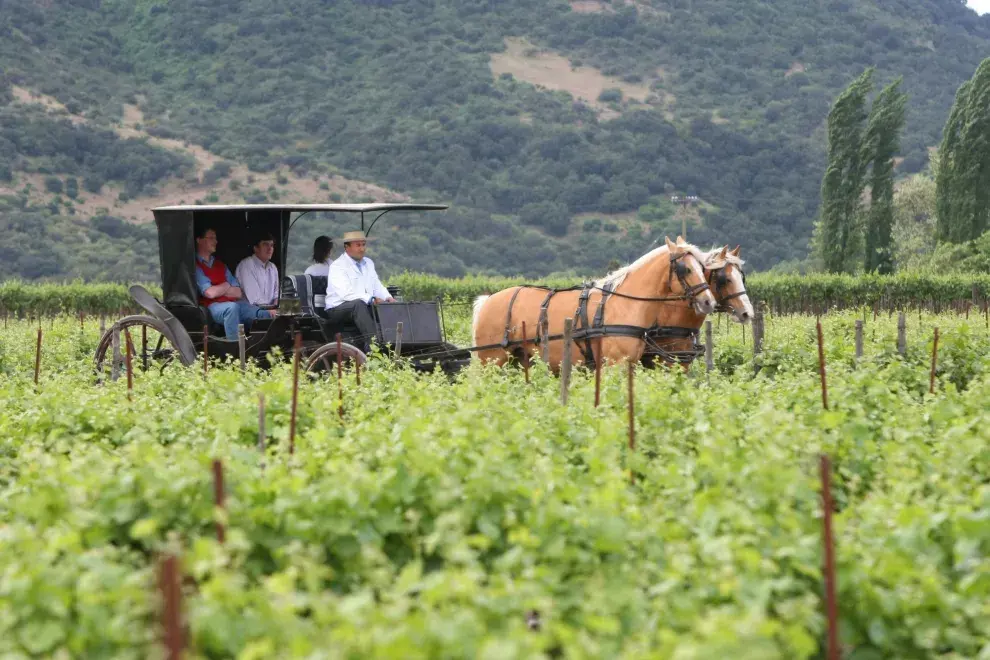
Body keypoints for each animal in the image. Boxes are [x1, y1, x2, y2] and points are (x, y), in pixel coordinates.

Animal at [470, 237, 712, 372]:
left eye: (702, 267)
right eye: (685, 269)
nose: (709, 301)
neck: (624, 304)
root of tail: (488, 301)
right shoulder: (615, 365)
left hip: (520, 359)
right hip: (492, 360)